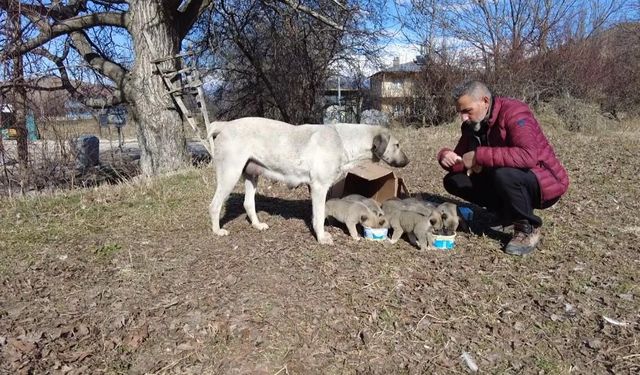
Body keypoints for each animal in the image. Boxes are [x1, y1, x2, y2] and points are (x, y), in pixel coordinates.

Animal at [208, 119, 408, 245]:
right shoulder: (319, 187)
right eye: (397, 145)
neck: (343, 140)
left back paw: (257, 225)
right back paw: (217, 231)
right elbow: (318, 216)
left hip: (252, 175)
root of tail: (224, 125)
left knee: (248, 203)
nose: (408, 161)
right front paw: (322, 238)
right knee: (214, 205)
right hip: (230, 174)